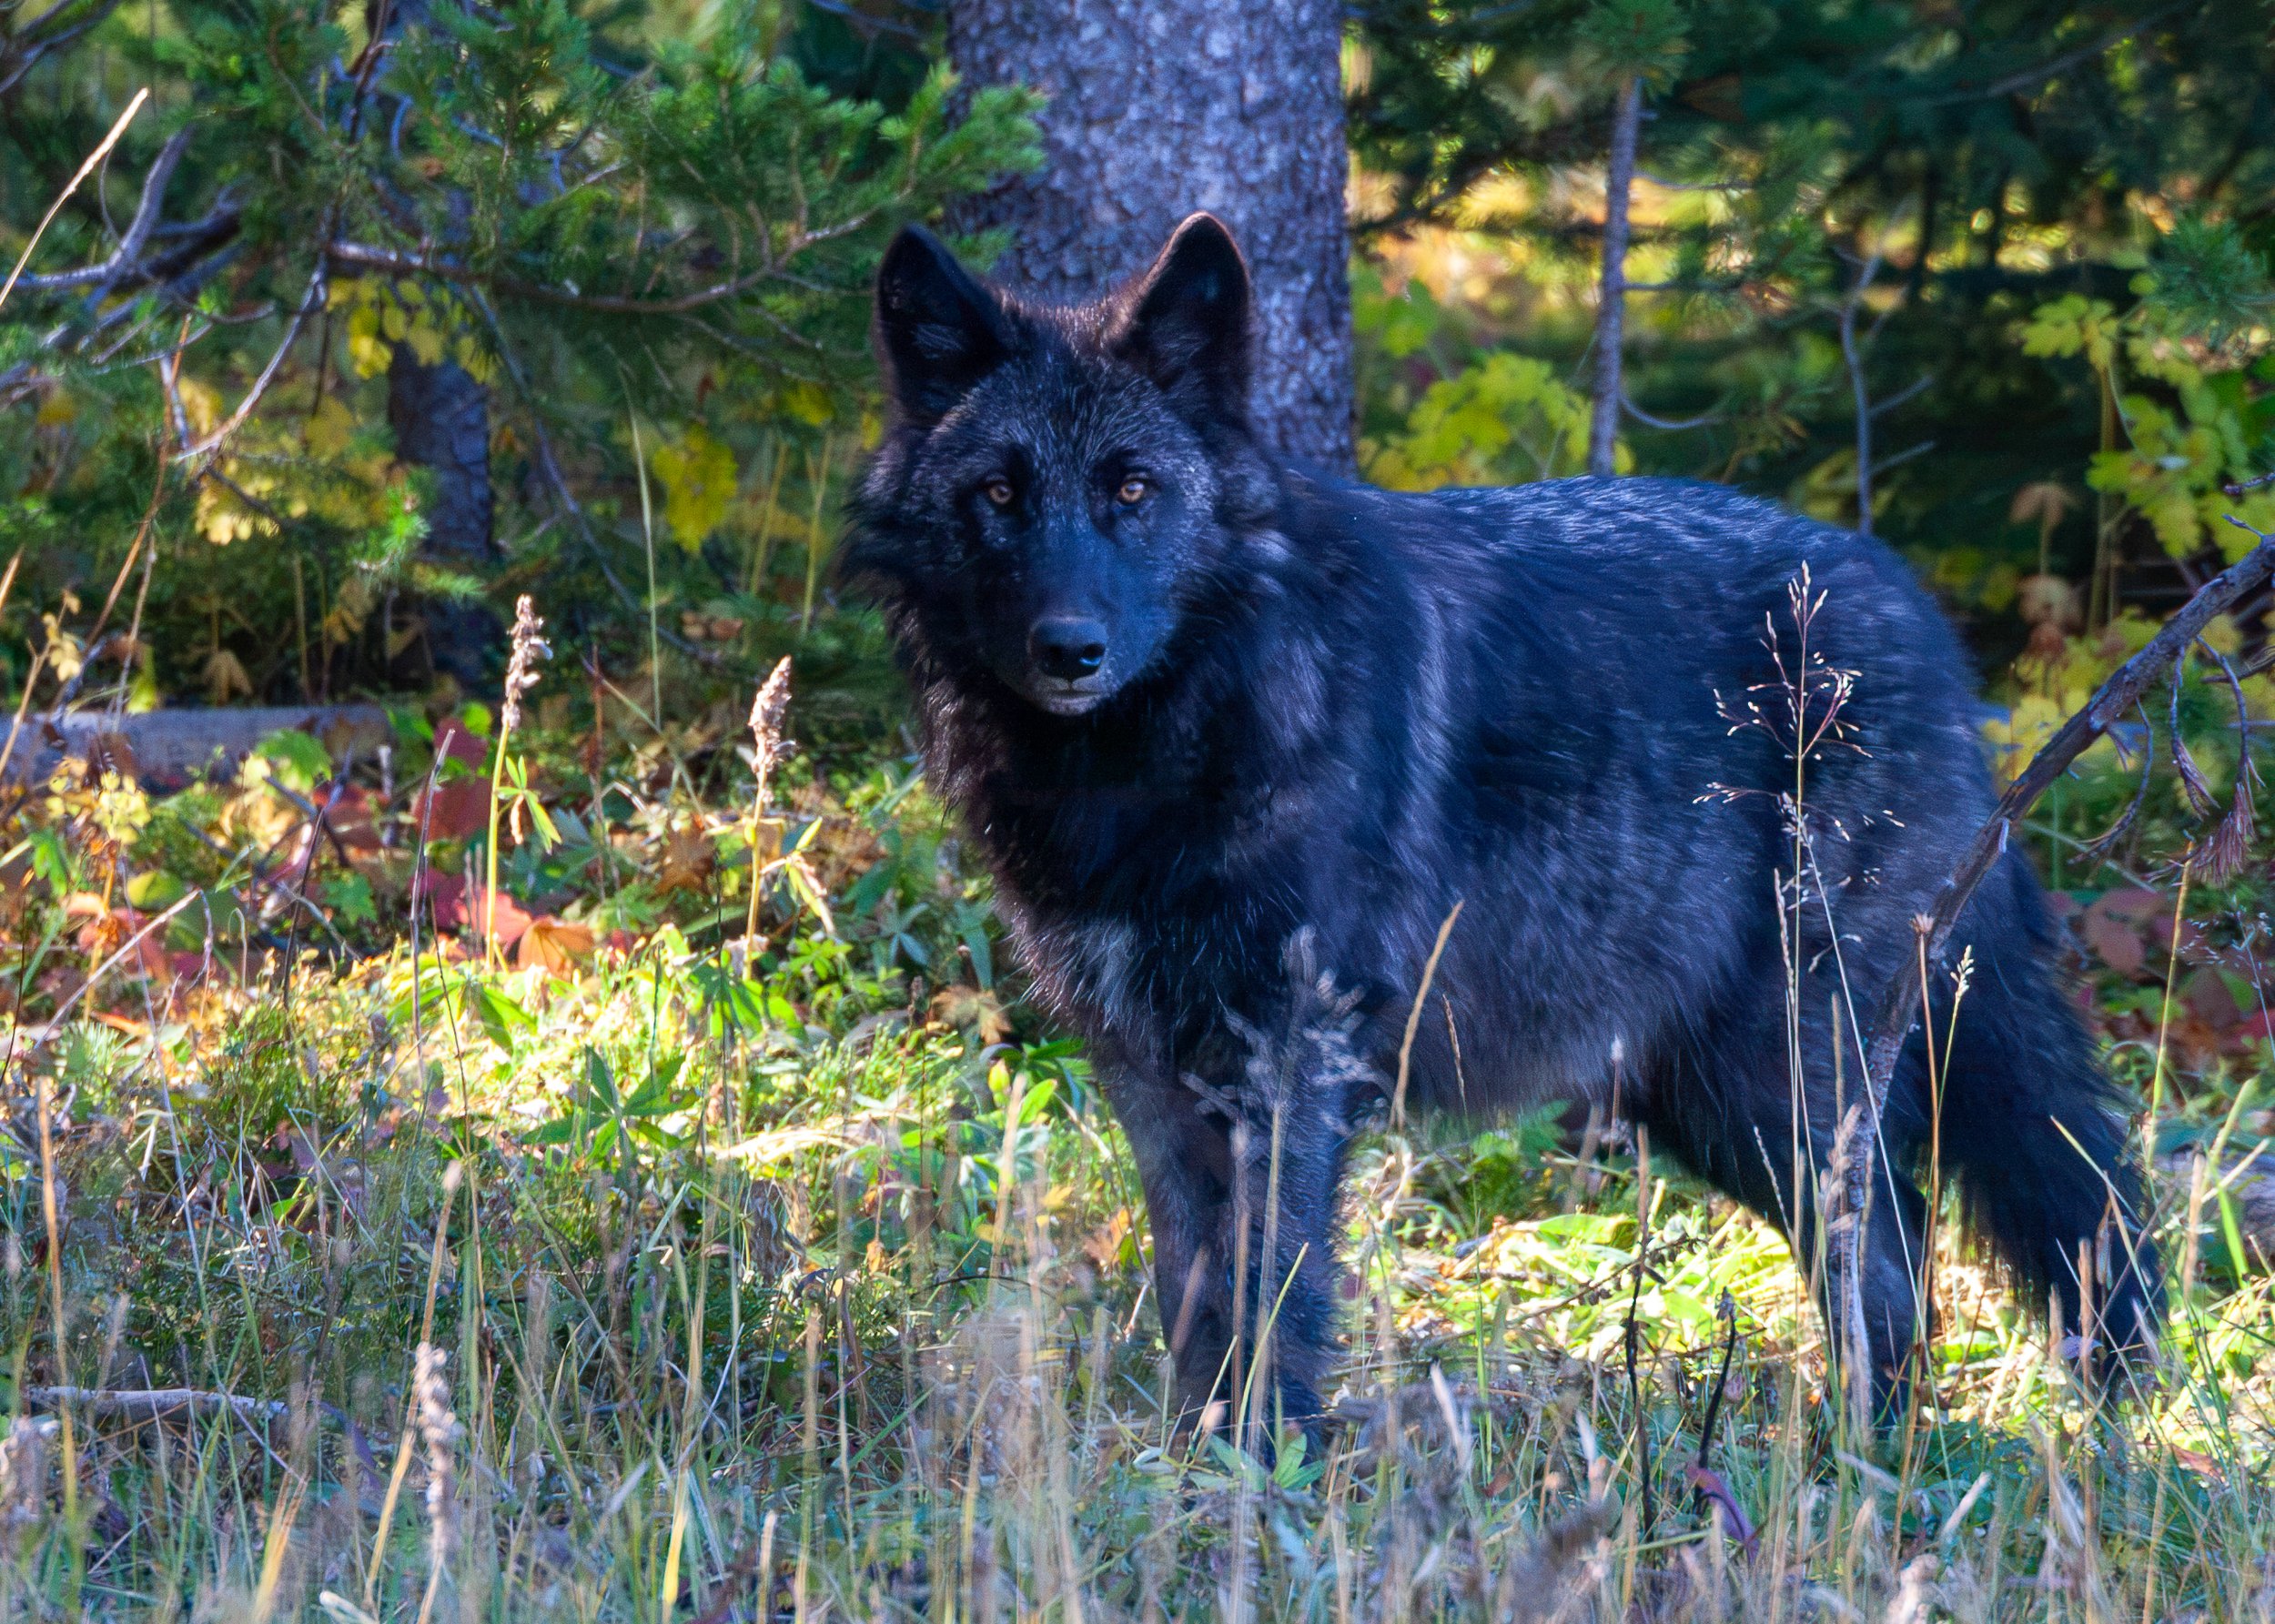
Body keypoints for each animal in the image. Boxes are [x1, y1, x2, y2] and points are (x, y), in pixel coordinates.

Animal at [843, 212, 2162, 1434]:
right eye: (999, 494)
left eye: (1131, 488)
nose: (1068, 649)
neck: (1155, 761)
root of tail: (1923, 626)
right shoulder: (1147, 1077)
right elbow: (1193, 1299)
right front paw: (1194, 1463)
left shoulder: (1293, 1061)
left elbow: (1277, 1297)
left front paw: (1269, 1475)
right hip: (1702, 1098)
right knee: (1912, 1255)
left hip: (1771, 1083)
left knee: (1892, 1271)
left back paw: (1857, 1475)